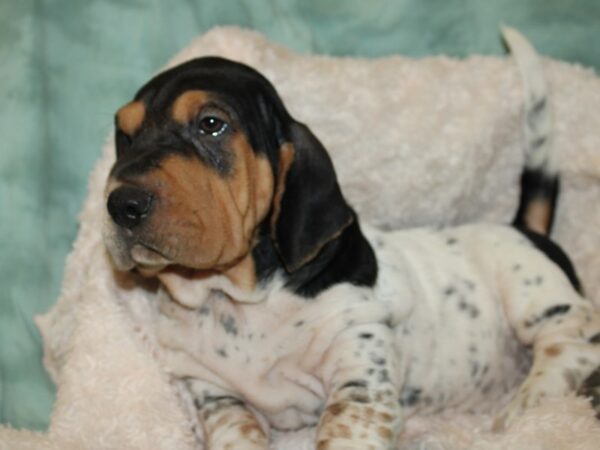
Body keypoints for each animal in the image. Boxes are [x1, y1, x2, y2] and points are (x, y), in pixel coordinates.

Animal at [104, 29, 600, 448]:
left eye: (210, 124)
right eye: (124, 136)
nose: (121, 204)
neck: (237, 296)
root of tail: (523, 228)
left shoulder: (359, 381)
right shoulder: (214, 393)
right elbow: (234, 432)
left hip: (533, 295)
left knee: (571, 346)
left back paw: (526, 405)